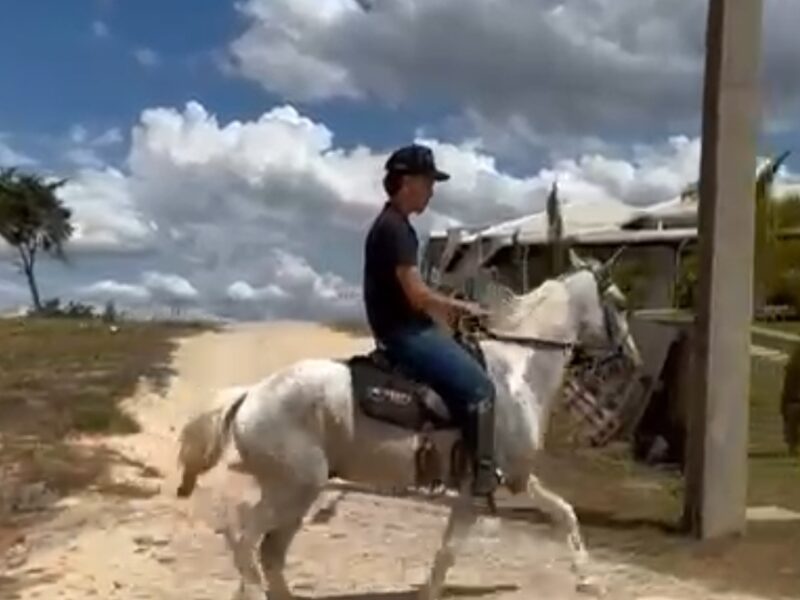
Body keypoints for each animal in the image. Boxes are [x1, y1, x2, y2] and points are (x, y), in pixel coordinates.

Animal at [175, 248, 643, 600]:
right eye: (619, 303)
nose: (633, 360)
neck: (517, 370)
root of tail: (252, 394)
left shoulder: (496, 484)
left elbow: (556, 518)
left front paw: (589, 579)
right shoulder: (498, 482)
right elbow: (460, 548)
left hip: (298, 493)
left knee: (269, 554)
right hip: (292, 489)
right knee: (245, 541)